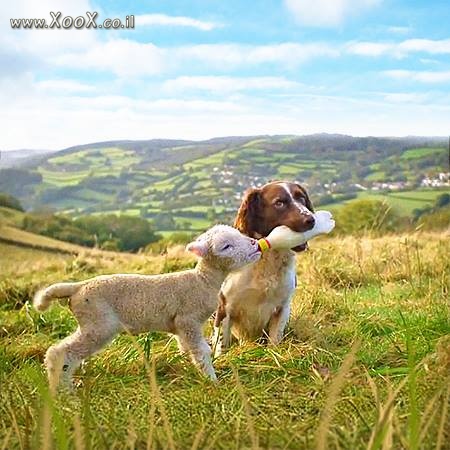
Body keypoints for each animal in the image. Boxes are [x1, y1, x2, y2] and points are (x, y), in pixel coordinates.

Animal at [34, 225, 260, 390]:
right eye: (226, 246)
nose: (256, 244)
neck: (203, 280)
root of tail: (78, 287)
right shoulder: (189, 320)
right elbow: (202, 351)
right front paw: (212, 380)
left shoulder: (180, 327)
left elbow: (186, 349)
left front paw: (188, 370)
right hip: (98, 322)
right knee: (60, 352)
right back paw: (63, 390)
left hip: (91, 322)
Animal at [214, 179, 312, 352]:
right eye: (279, 203)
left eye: (301, 198)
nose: (311, 219)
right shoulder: (225, 307)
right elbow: (221, 345)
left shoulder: (282, 306)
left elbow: (274, 340)